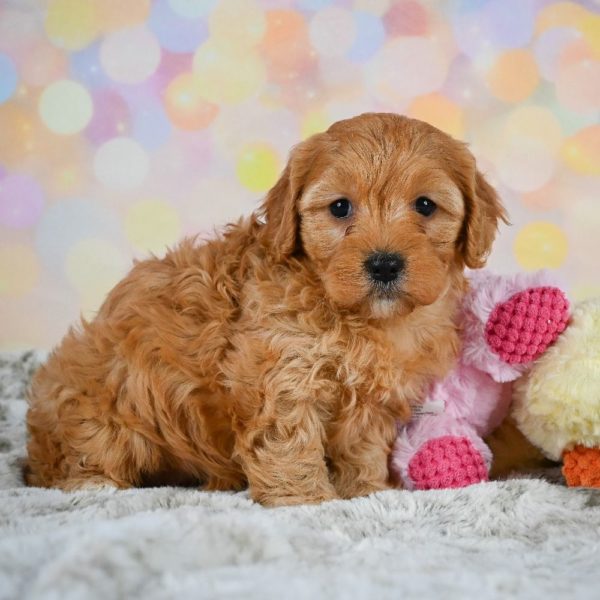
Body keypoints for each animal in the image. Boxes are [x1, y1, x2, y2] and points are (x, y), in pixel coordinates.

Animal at [24, 113, 506, 506]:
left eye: (425, 205)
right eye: (339, 207)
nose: (385, 263)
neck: (362, 319)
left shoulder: (373, 399)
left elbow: (361, 446)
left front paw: (366, 489)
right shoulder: (280, 374)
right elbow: (288, 440)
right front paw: (305, 499)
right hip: (102, 411)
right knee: (83, 455)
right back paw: (91, 482)